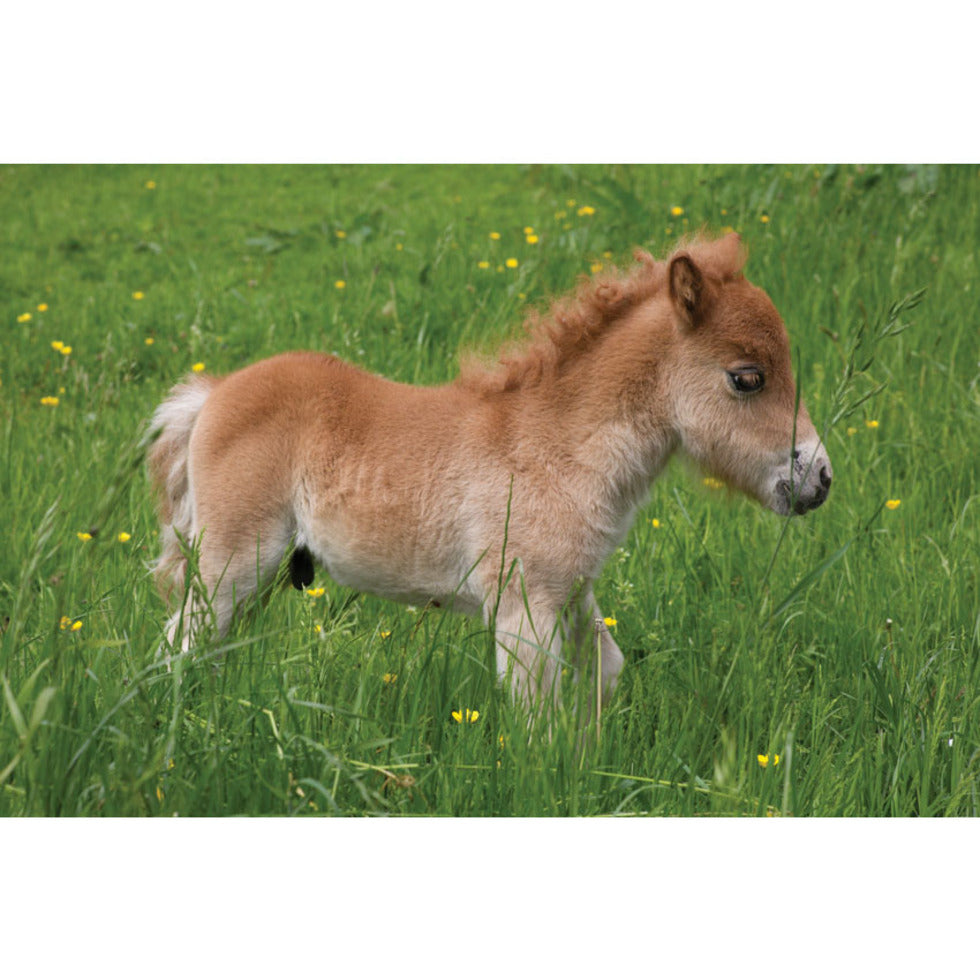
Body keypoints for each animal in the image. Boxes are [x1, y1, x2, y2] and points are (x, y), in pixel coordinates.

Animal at [148, 232, 832, 713]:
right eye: (747, 378)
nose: (820, 480)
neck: (557, 446)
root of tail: (214, 393)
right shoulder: (523, 605)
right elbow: (535, 712)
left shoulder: (572, 591)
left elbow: (603, 673)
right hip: (235, 561)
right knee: (182, 643)